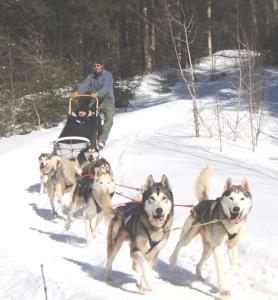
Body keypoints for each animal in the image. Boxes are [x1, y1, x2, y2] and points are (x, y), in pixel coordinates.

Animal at [169, 165, 252, 296]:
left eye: (242, 198)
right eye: (231, 198)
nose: (236, 208)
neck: (229, 224)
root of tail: (203, 201)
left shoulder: (232, 247)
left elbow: (233, 267)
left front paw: (227, 279)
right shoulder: (217, 248)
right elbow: (220, 269)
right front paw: (223, 288)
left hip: (209, 248)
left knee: (198, 264)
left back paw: (199, 276)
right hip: (190, 236)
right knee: (179, 244)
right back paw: (173, 259)